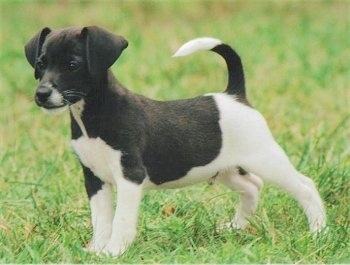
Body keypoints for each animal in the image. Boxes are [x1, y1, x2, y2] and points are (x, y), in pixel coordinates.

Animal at [23, 26, 326, 256]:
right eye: (41, 64)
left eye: (72, 65)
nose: (41, 94)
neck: (93, 118)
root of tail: (234, 95)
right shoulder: (94, 179)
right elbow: (101, 220)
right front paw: (97, 250)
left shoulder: (130, 177)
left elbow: (120, 220)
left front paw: (113, 252)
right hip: (224, 168)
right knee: (253, 186)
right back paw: (235, 227)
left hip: (265, 159)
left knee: (305, 187)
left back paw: (318, 231)